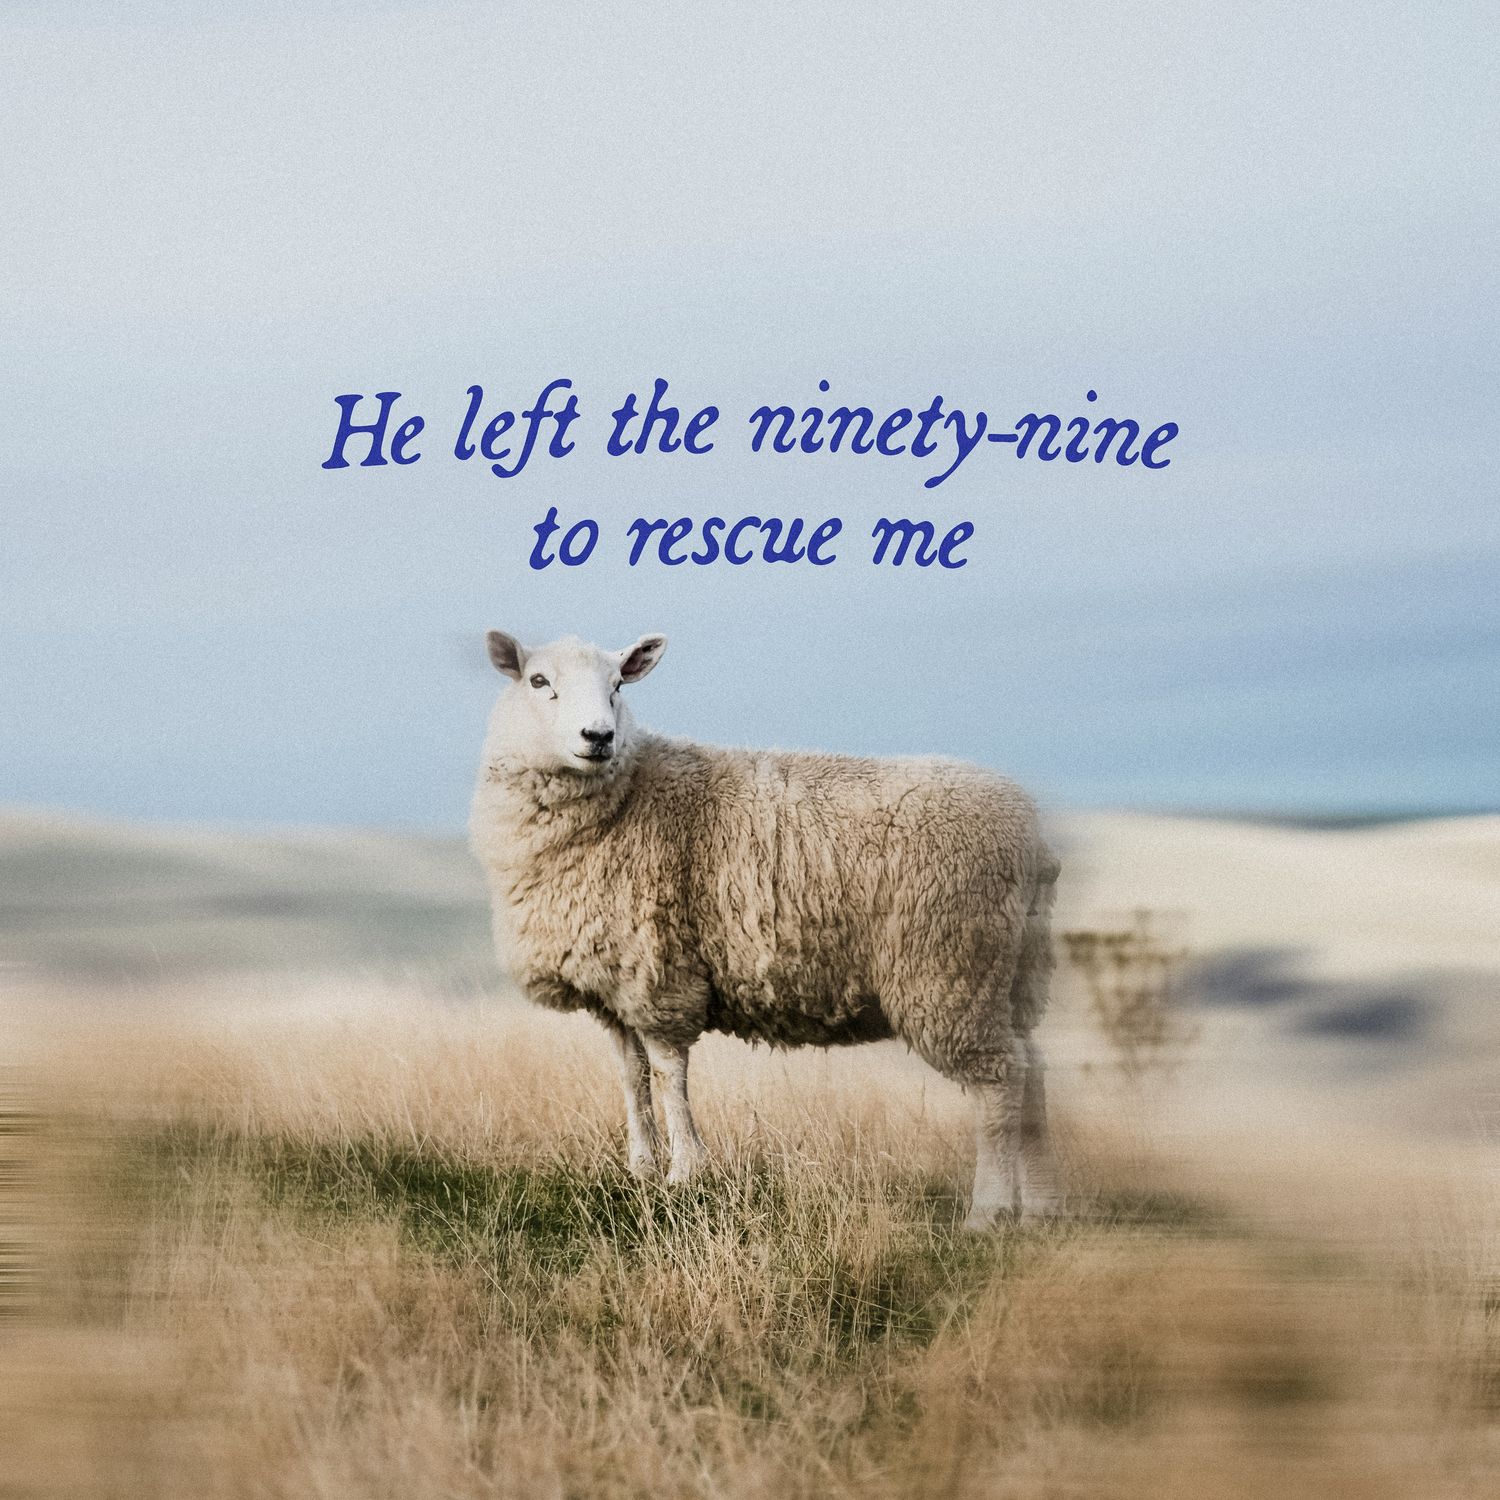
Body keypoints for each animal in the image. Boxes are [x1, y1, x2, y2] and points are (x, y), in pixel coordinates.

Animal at [469, 630, 1062, 1227]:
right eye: (538, 681)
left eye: (618, 685)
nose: (599, 737)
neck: (627, 796)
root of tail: (1033, 840)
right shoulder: (616, 986)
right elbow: (631, 1078)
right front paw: (640, 1169)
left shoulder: (661, 976)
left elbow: (668, 1075)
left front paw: (684, 1173)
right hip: (1013, 974)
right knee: (1031, 1070)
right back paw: (1039, 1209)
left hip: (951, 969)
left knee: (999, 1081)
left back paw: (987, 1213)